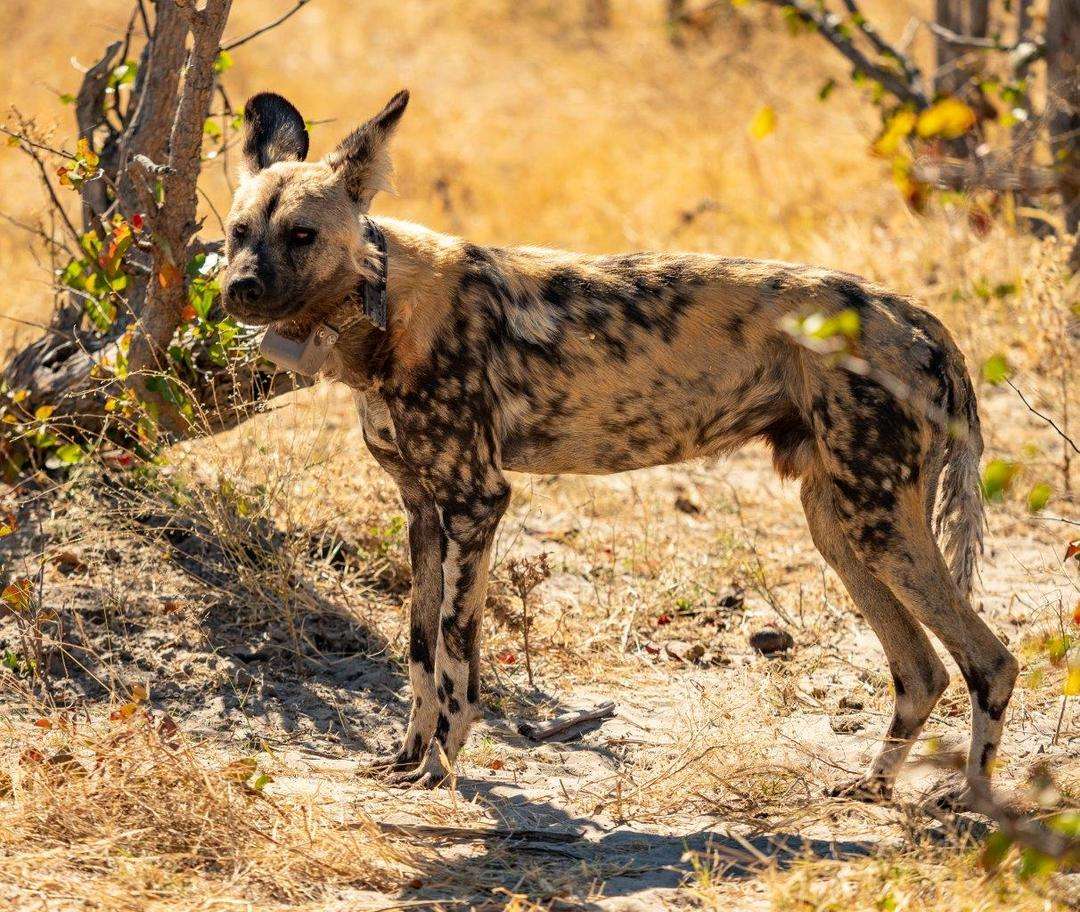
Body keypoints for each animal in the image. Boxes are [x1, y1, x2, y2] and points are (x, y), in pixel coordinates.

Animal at [223, 87, 1015, 799]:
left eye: (302, 236)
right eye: (237, 233)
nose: (238, 290)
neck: (381, 311)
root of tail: (911, 312)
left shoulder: (476, 503)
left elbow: (454, 659)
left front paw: (441, 768)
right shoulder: (423, 511)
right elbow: (418, 653)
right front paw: (407, 757)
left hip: (877, 525)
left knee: (991, 662)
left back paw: (969, 806)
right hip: (839, 524)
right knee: (922, 671)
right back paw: (873, 786)